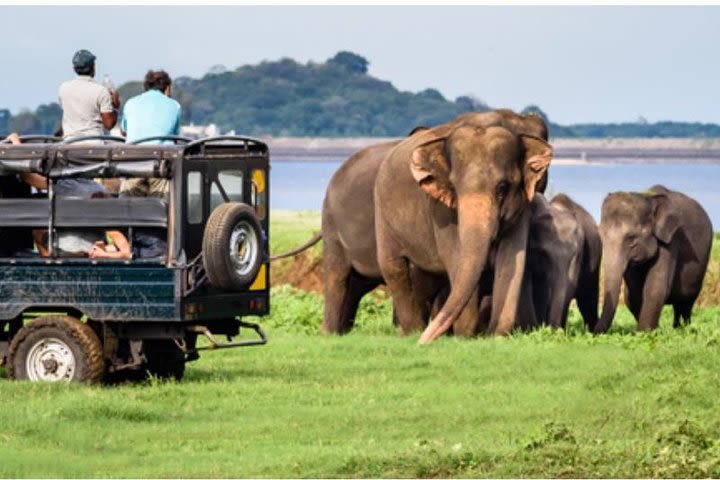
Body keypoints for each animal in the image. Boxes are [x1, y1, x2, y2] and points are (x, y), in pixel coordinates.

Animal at [374, 124, 556, 342]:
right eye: (453, 187)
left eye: (502, 188)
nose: (423, 343)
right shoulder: (441, 210)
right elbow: (455, 258)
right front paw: (465, 337)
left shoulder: (521, 209)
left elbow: (512, 260)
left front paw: (496, 337)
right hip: (382, 216)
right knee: (394, 267)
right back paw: (412, 332)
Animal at [592, 186, 712, 332]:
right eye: (600, 236)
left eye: (631, 238)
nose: (592, 331)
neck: (648, 198)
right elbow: (633, 295)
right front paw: (652, 331)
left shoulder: (670, 240)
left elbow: (655, 287)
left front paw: (645, 333)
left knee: (685, 303)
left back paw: (683, 329)